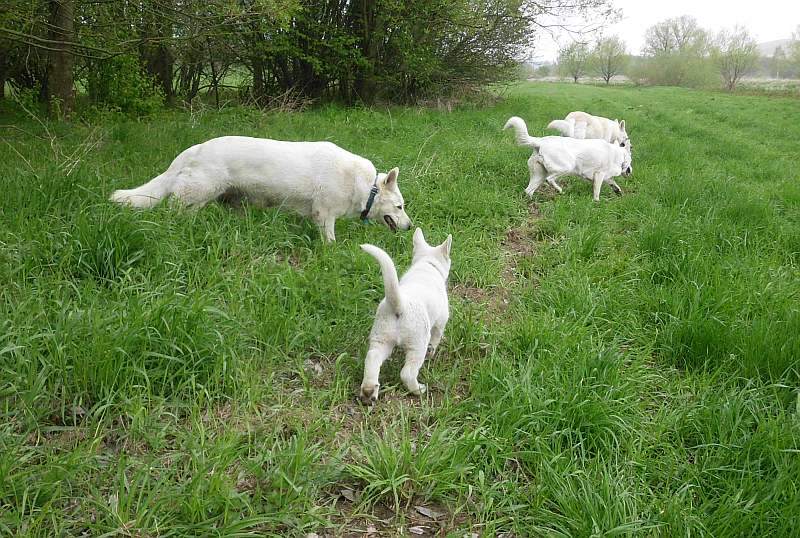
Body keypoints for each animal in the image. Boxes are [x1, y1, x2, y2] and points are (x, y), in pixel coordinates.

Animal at [110, 135, 412, 242]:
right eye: (399, 207)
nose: (410, 227)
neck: (365, 186)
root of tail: (195, 148)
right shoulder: (325, 216)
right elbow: (330, 241)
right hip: (196, 195)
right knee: (175, 210)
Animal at [360, 228, 454, 404]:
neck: (427, 265)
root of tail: (399, 304)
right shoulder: (441, 321)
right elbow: (436, 338)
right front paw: (433, 352)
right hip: (417, 345)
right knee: (407, 373)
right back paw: (419, 390)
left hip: (381, 340)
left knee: (372, 358)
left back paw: (369, 392)